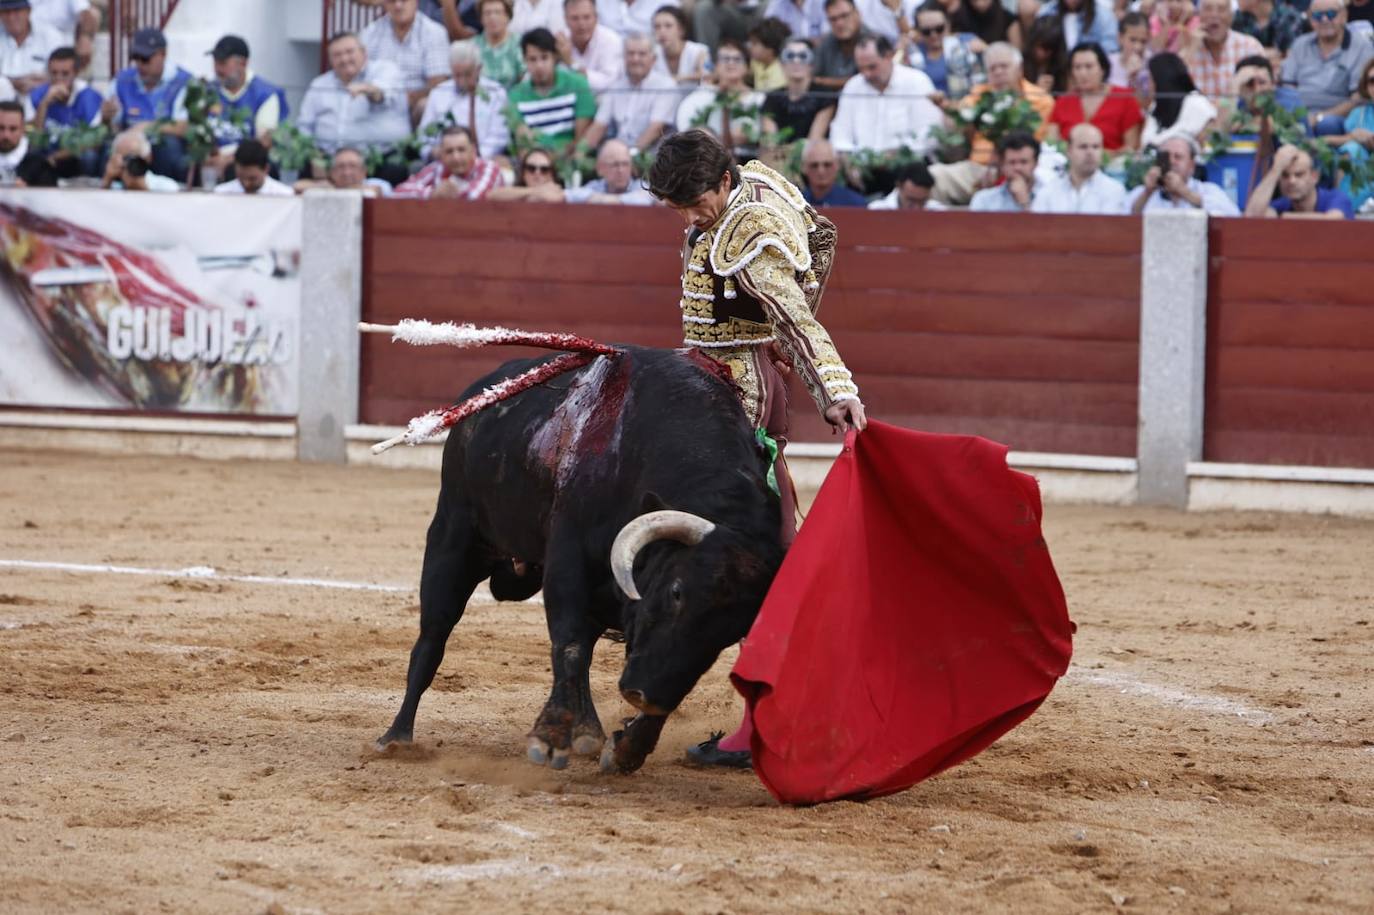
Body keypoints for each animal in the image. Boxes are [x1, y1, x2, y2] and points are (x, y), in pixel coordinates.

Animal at [379, 342, 785, 769]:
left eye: (734, 632)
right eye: (677, 592)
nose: (645, 696)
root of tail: (485, 388)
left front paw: (627, 747)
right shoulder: (568, 560)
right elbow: (569, 643)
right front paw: (552, 736)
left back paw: (589, 731)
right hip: (453, 537)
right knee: (433, 635)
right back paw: (397, 736)